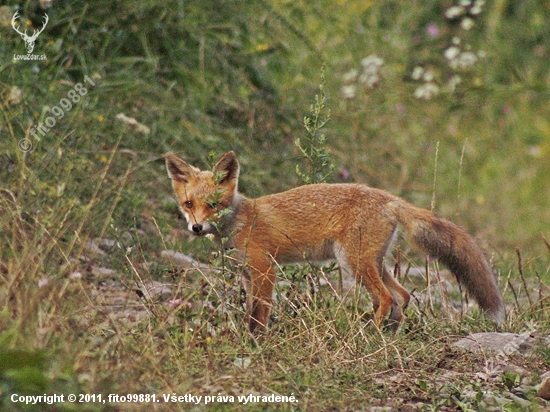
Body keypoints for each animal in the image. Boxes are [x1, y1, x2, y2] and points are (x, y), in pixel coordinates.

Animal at [166, 151, 506, 332]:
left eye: (213, 204)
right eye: (188, 204)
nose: (196, 227)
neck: (241, 220)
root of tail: (389, 198)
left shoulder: (265, 270)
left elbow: (259, 313)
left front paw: (257, 341)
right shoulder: (248, 274)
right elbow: (250, 311)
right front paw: (248, 338)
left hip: (353, 263)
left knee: (386, 297)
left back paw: (369, 334)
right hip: (371, 263)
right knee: (402, 295)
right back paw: (390, 334)